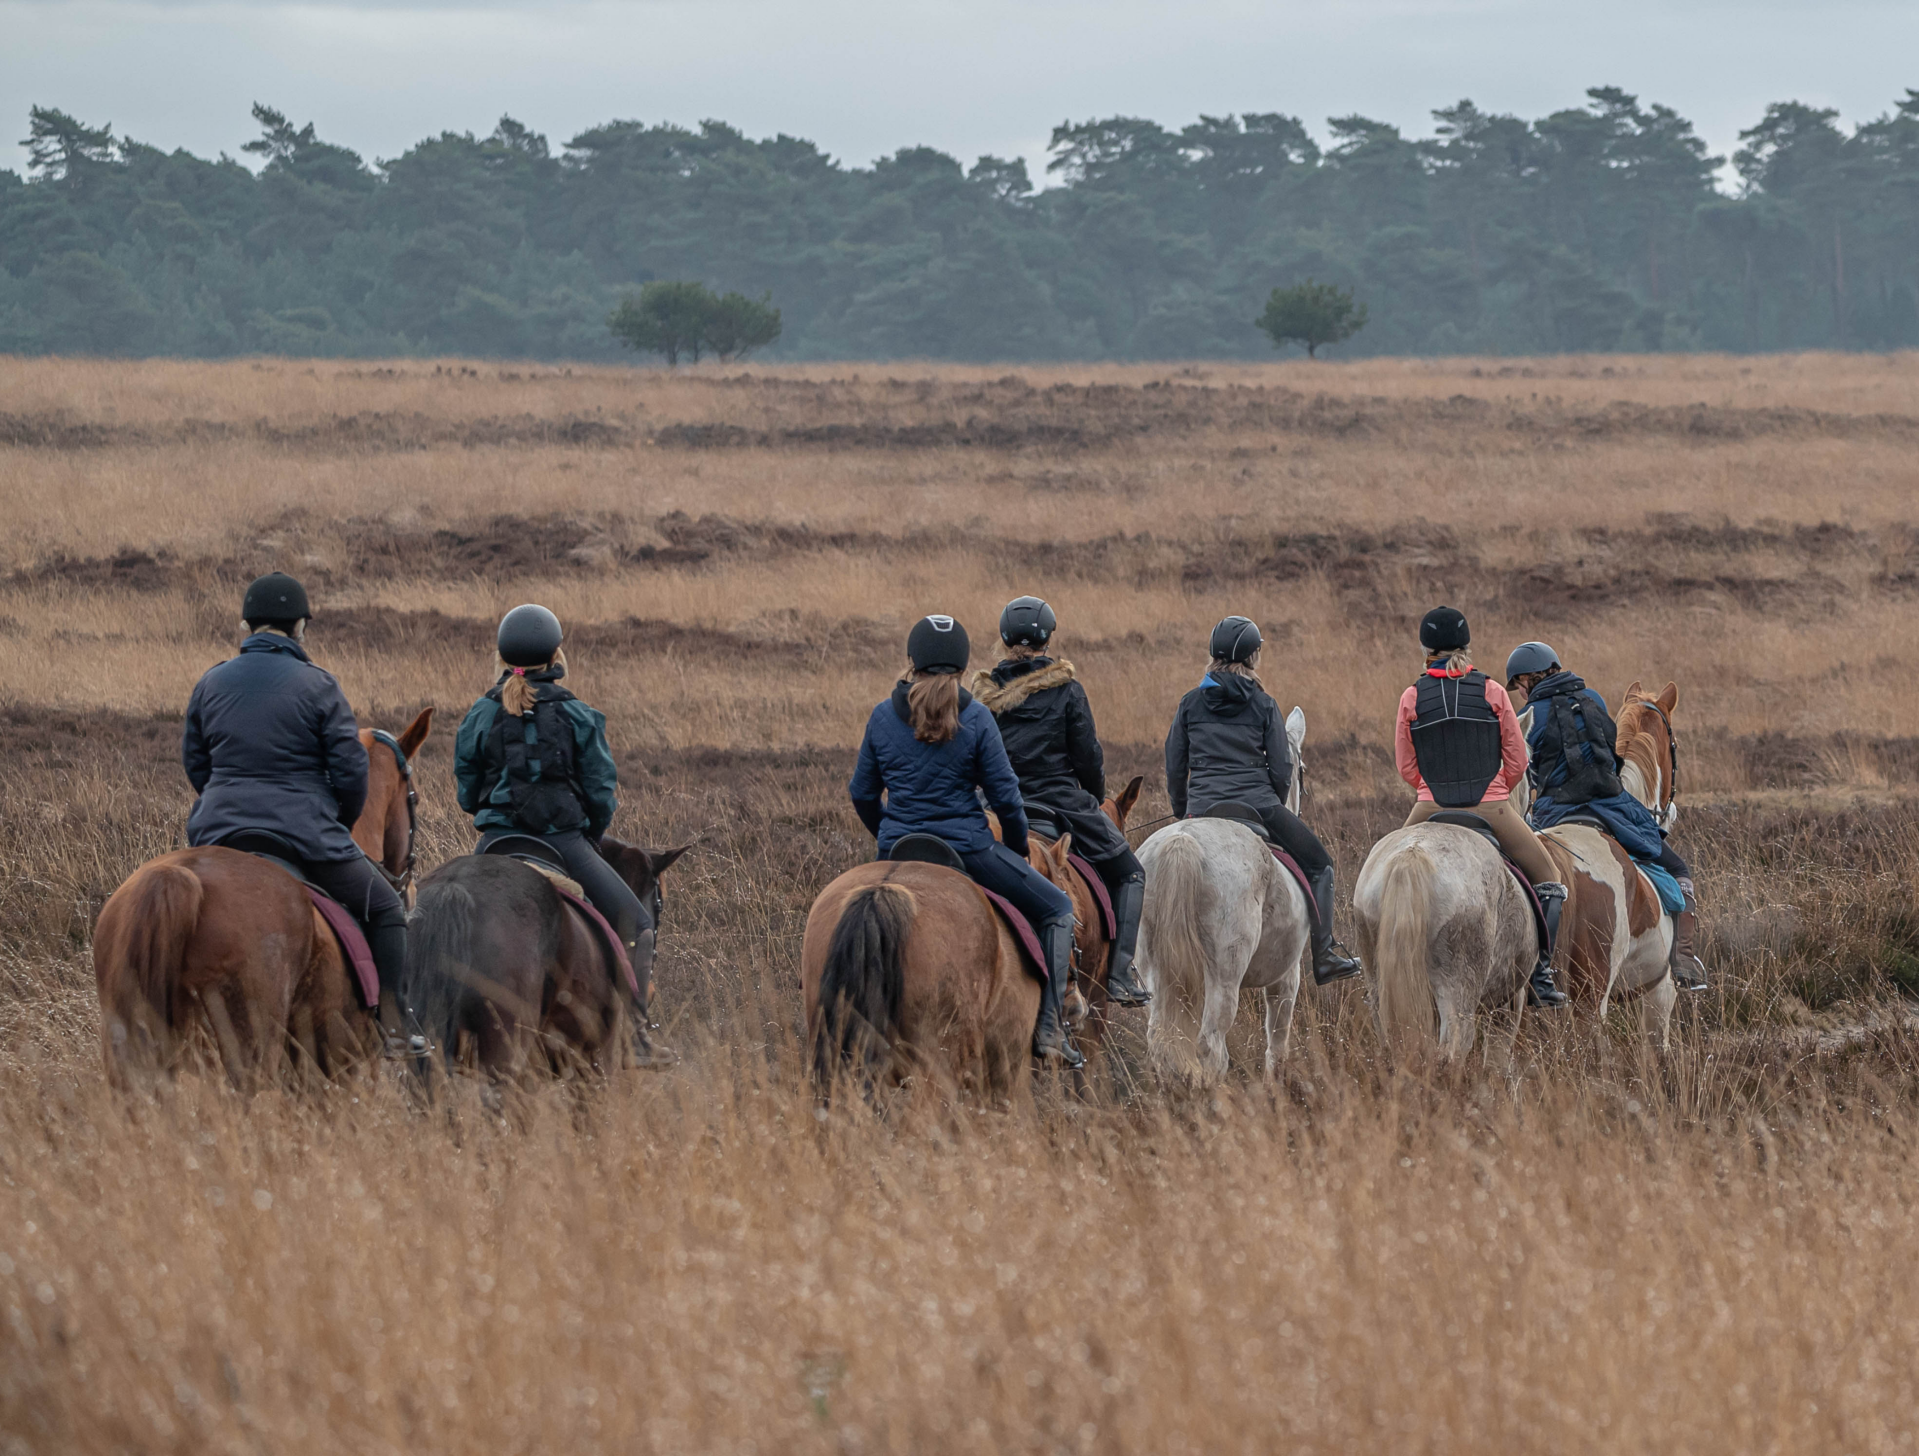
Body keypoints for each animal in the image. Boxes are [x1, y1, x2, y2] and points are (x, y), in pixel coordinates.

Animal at [1135, 708, 1314, 1085]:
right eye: (1301, 769)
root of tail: (1183, 841)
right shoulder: (1286, 976)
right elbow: (1278, 1040)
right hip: (1224, 974)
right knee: (1211, 1044)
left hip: (1154, 971)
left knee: (1161, 1040)